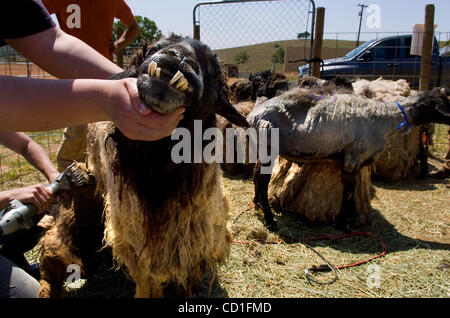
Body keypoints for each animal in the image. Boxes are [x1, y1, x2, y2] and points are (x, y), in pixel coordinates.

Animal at [37, 35, 250, 298]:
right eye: (157, 46)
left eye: (213, 70)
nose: (180, 57)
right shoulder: (138, 252)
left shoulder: (195, 246)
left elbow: (190, 282)